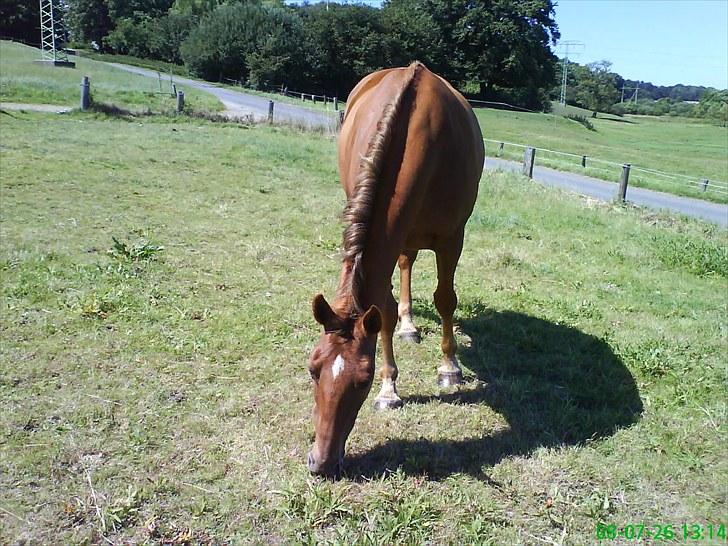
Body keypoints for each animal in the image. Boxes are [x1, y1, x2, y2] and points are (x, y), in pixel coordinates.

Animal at [308, 61, 484, 474]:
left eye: (362, 380)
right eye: (312, 368)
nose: (321, 463)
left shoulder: (453, 237)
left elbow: (445, 299)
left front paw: (449, 368)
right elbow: (383, 311)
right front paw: (390, 389)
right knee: (403, 270)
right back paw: (407, 325)